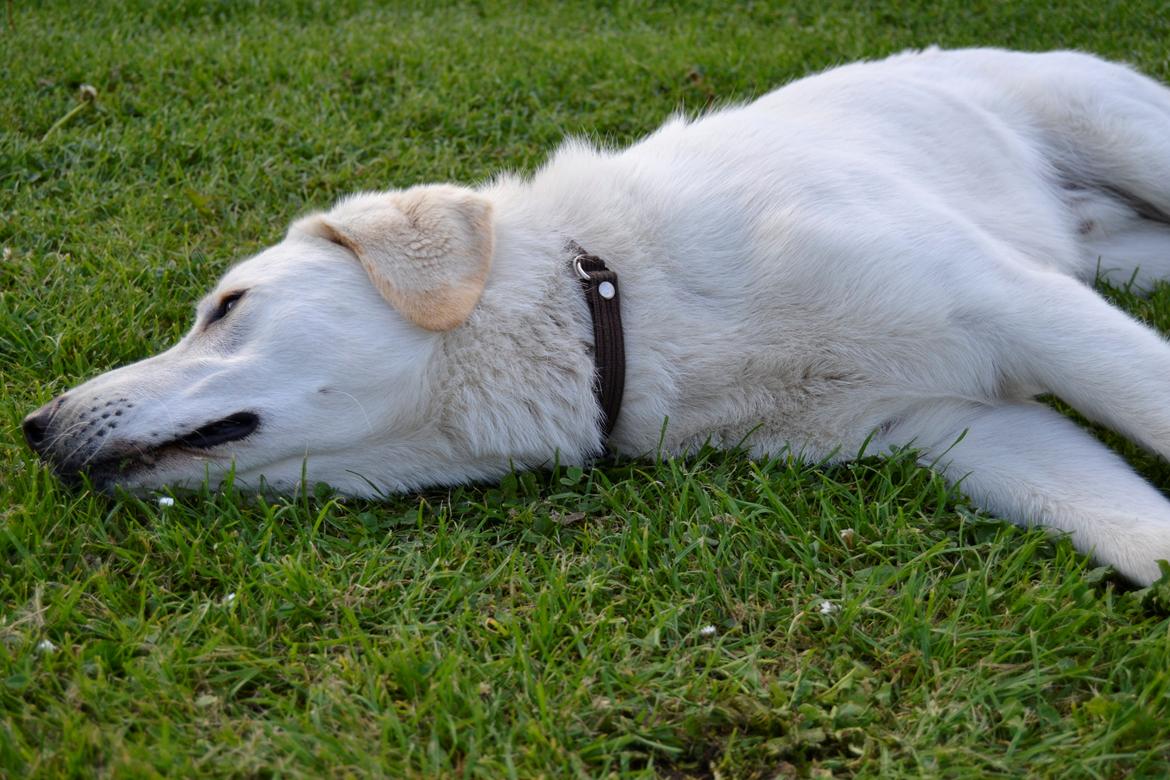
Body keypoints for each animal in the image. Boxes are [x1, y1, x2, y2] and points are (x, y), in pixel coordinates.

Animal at [20, 47, 1170, 584]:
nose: (34, 427)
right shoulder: (970, 427)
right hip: (1117, 256)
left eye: (227, 307)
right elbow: (1142, 533)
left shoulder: (1015, 303)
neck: (611, 300)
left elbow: (1146, 400)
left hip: (1123, 142)